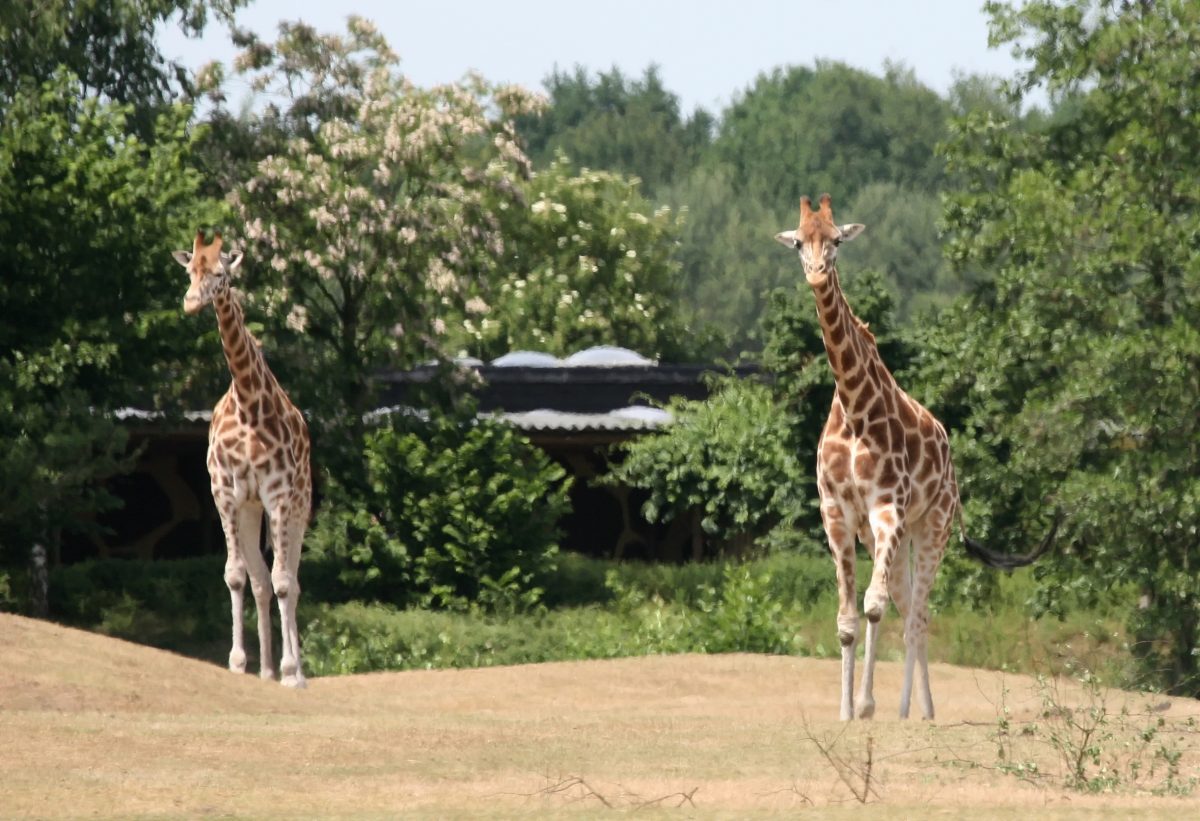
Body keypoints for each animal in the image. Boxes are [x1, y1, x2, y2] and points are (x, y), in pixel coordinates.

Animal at [175, 229, 314, 686]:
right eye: (189, 270)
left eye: (220, 274)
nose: (191, 302)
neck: (250, 402)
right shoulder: (227, 493)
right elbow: (237, 577)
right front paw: (239, 663)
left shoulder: (279, 495)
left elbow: (285, 582)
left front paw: (292, 671)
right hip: (253, 511)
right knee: (259, 580)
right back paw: (267, 670)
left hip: (298, 507)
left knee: (291, 579)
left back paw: (293, 671)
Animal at [777, 194, 1051, 720]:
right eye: (799, 241)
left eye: (837, 240)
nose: (818, 274)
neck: (854, 407)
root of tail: (952, 467)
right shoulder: (838, 514)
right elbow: (847, 619)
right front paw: (845, 712)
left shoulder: (888, 507)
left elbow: (873, 605)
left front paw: (866, 704)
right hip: (889, 534)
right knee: (909, 610)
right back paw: (911, 709)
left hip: (931, 526)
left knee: (919, 613)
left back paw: (918, 711)